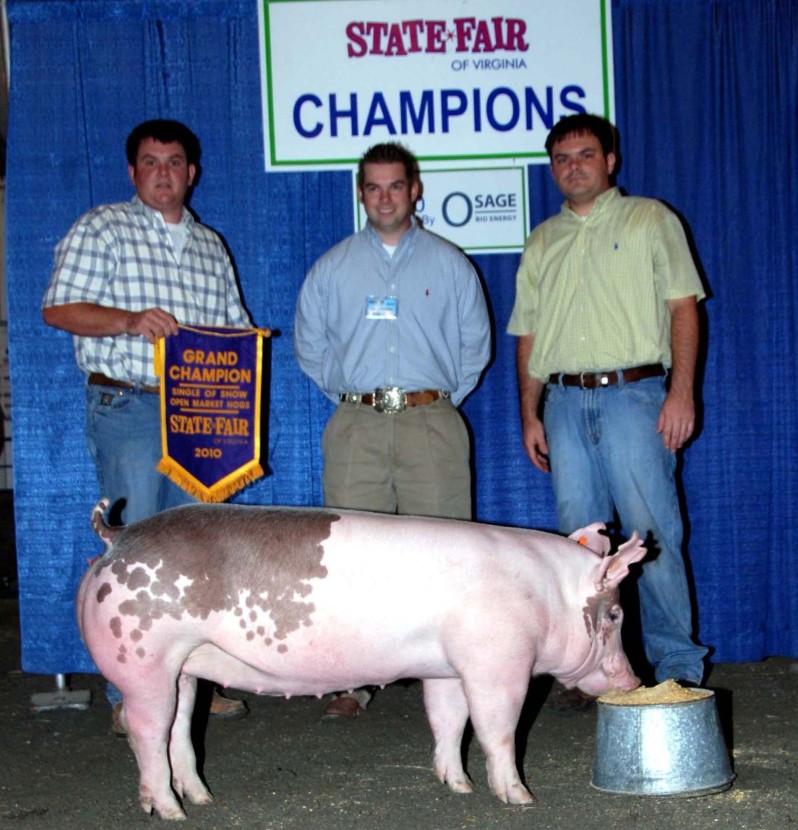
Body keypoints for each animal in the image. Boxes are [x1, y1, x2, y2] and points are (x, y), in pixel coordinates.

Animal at [78, 500, 648, 820]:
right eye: (619, 614)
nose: (635, 680)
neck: (547, 595)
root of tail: (116, 537)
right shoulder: (498, 663)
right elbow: (497, 729)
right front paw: (521, 798)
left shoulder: (446, 667)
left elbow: (447, 720)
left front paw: (457, 785)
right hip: (142, 658)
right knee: (146, 731)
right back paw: (168, 811)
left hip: (184, 667)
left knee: (179, 728)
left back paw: (201, 800)